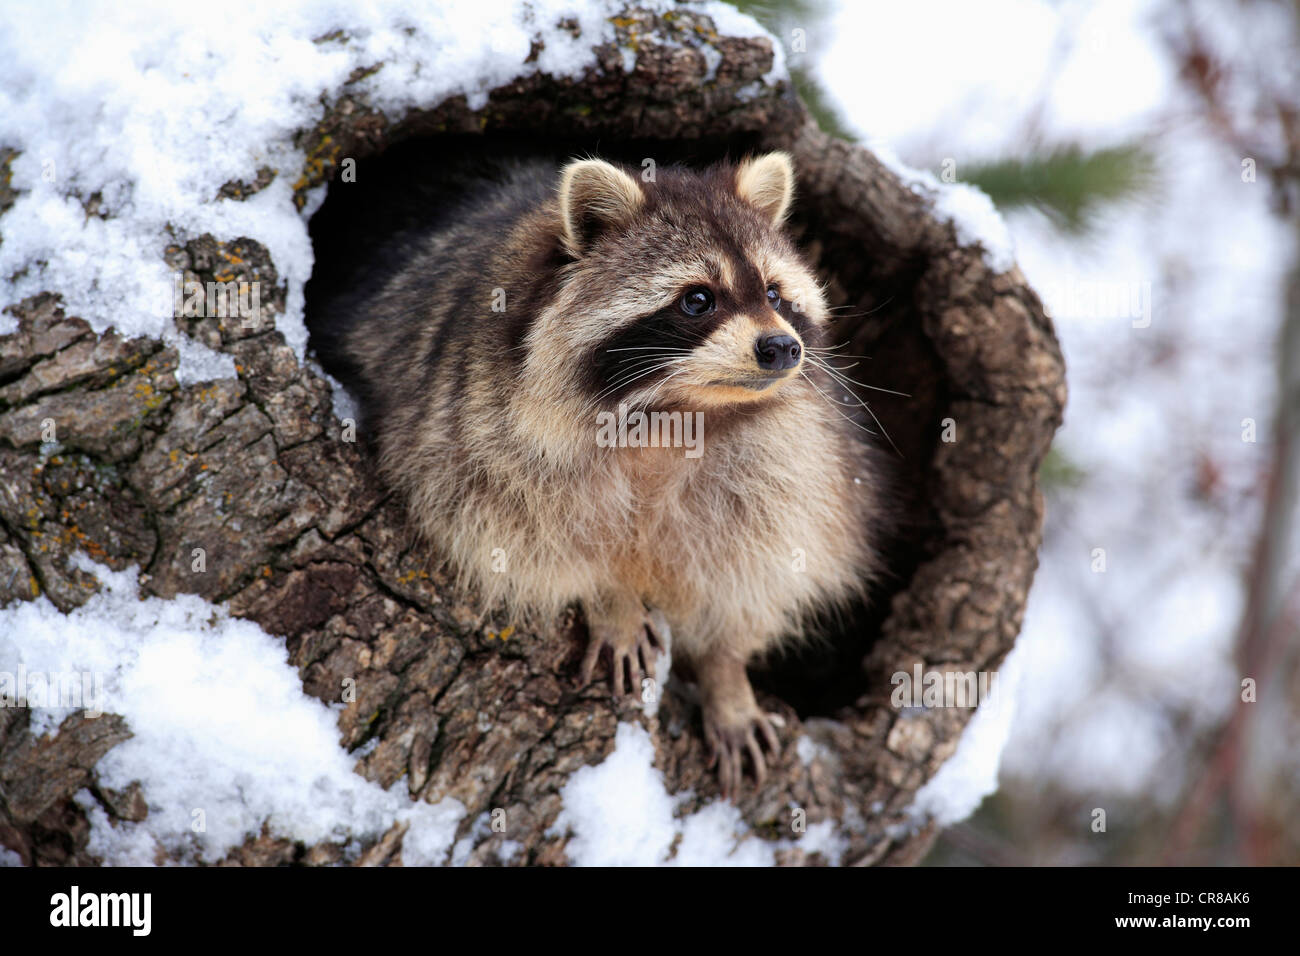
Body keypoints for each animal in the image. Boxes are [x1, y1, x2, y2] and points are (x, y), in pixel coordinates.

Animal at [306, 149, 883, 796]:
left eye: (775, 294)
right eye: (698, 299)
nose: (781, 348)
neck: (677, 413)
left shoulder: (789, 462)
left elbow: (760, 562)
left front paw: (726, 672)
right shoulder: (467, 423)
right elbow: (512, 527)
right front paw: (610, 593)